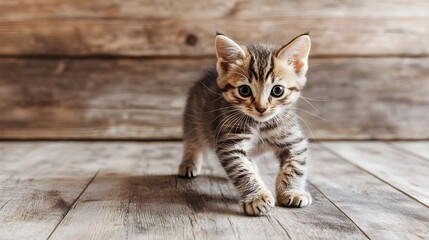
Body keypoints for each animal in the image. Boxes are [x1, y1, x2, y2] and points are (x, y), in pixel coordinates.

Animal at [177, 33, 310, 216]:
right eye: (244, 91)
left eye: (277, 90)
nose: (261, 108)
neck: (260, 125)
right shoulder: (229, 144)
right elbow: (242, 170)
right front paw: (257, 197)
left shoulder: (294, 140)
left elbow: (294, 167)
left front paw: (292, 191)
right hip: (193, 118)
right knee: (192, 142)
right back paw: (188, 163)